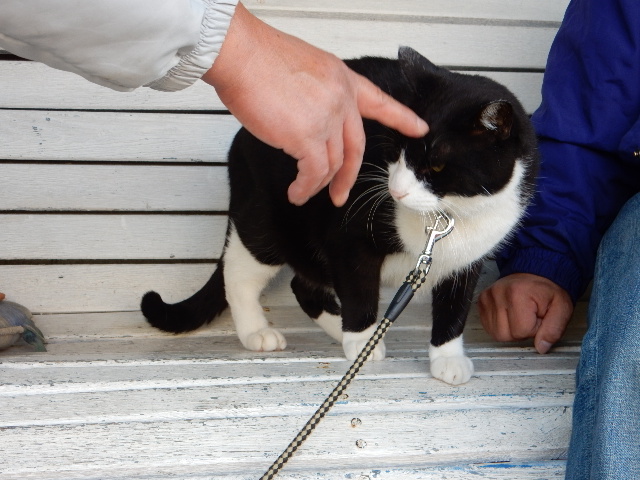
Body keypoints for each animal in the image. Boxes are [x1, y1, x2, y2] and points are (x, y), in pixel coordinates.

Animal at [141, 46, 539, 385]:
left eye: (437, 166)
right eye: (396, 151)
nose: (396, 191)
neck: (447, 215)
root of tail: (241, 136)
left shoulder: (467, 260)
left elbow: (455, 309)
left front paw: (447, 359)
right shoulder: (349, 234)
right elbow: (359, 290)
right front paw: (362, 341)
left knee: (303, 285)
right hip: (269, 220)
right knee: (240, 272)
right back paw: (257, 331)